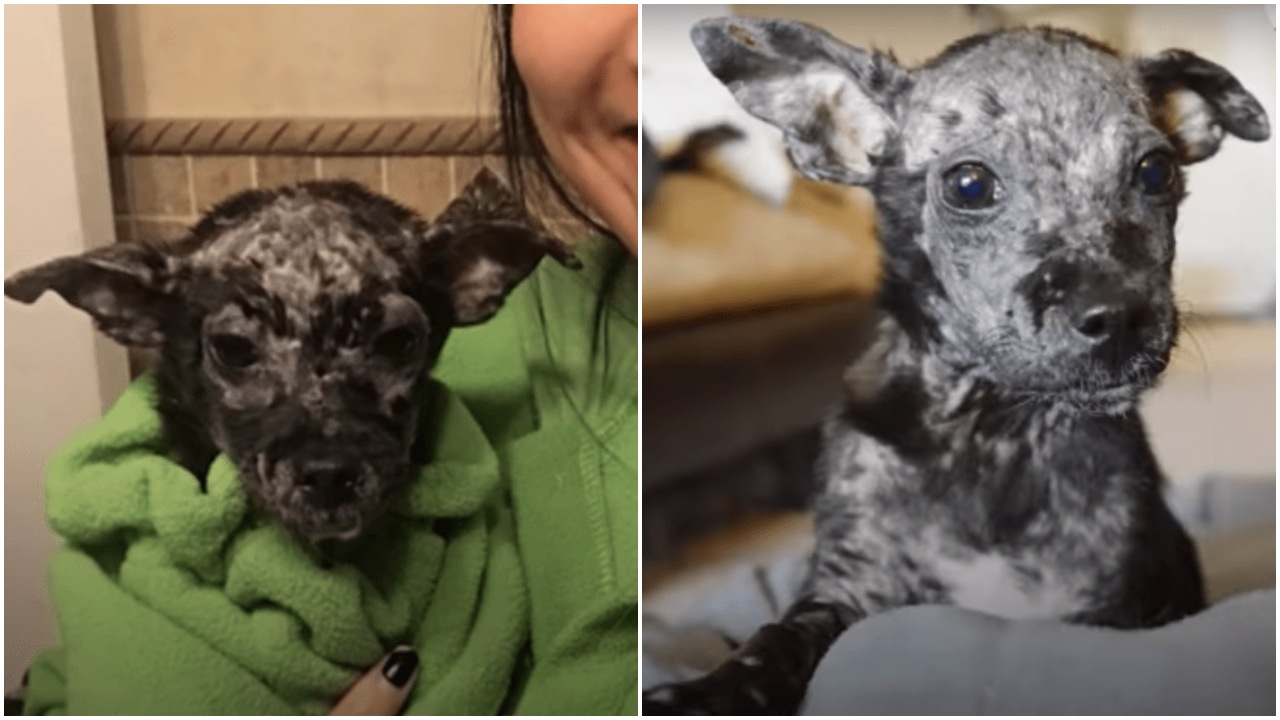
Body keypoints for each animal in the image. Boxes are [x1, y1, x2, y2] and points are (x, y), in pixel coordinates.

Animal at [645, 16, 1274, 712]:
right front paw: (705, 691)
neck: (993, 428)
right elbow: (774, 638)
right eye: (968, 185)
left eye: (1156, 171)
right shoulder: (848, 585)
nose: (1119, 317)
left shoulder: (1109, 606)